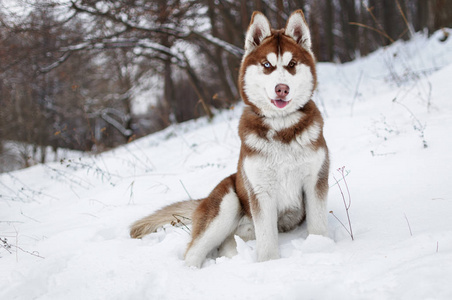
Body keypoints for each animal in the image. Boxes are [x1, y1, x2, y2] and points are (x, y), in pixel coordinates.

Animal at [130, 9, 328, 268]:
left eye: (292, 64)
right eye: (267, 65)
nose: (282, 88)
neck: (281, 128)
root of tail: (204, 199)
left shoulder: (315, 181)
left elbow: (317, 228)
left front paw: (320, 250)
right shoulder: (261, 192)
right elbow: (267, 243)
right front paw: (270, 266)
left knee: (226, 244)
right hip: (227, 203)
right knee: (193, 252)